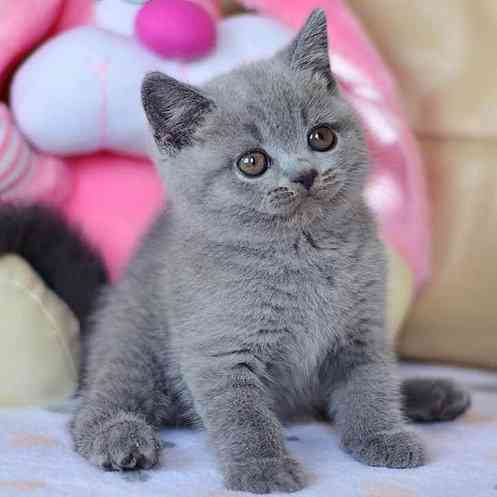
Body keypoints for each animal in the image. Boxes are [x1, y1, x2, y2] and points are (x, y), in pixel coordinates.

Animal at [70, 8, 468, 492]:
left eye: (321, 137)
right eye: (252, 162)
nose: (305, 174)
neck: (304, 253)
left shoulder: (363, 331)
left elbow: (370, 387)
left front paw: (384, 437)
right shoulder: (220, 352)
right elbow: (244, 417)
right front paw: (264, 467)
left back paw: (433, 395)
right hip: (135, 343)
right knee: (96, 404)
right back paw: (120, 439)